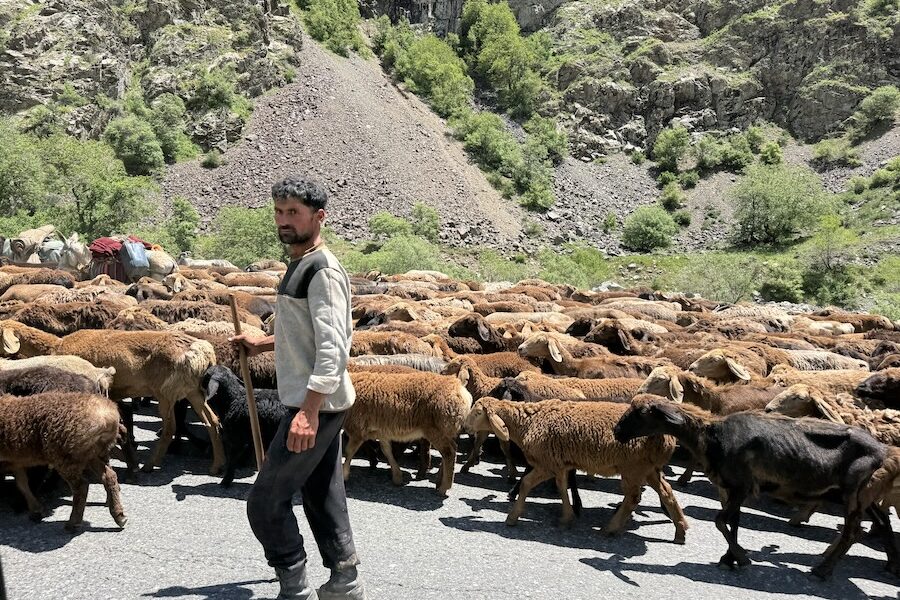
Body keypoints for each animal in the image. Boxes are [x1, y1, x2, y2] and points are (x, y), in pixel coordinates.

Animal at [0, 394, 127, 528]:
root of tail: (107, 415)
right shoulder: (15, 461)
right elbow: (22, 483)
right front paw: (36, 510)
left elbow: (22, 483)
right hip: (93, 454)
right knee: (109, 476)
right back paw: (120, 516)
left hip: (67, 457)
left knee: (81, 487)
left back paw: (73, 523)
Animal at [342, 370, 474, 496]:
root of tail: (459, 387)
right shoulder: (381, 431)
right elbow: (387, 451)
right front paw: (397, 477)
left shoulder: (356, 430)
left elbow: (349, 452)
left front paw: (344, 475)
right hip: (445, 430)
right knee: (450, 451)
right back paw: (439, 483)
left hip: (436, 429)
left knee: (449, 453)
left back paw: (444, 488)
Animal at [612, 396, 900, 580]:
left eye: (640, 413)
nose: (616, 432)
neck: (711, 436)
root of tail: (884, 452)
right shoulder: (733, 489)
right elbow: (733, 522)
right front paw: (729, 559)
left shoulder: (741, 486)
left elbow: (720, 521)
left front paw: (741, 558)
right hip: (865, 495)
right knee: (882, 522)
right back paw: (890, 565)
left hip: (854, 493)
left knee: (853, 532)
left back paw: (822, 570)